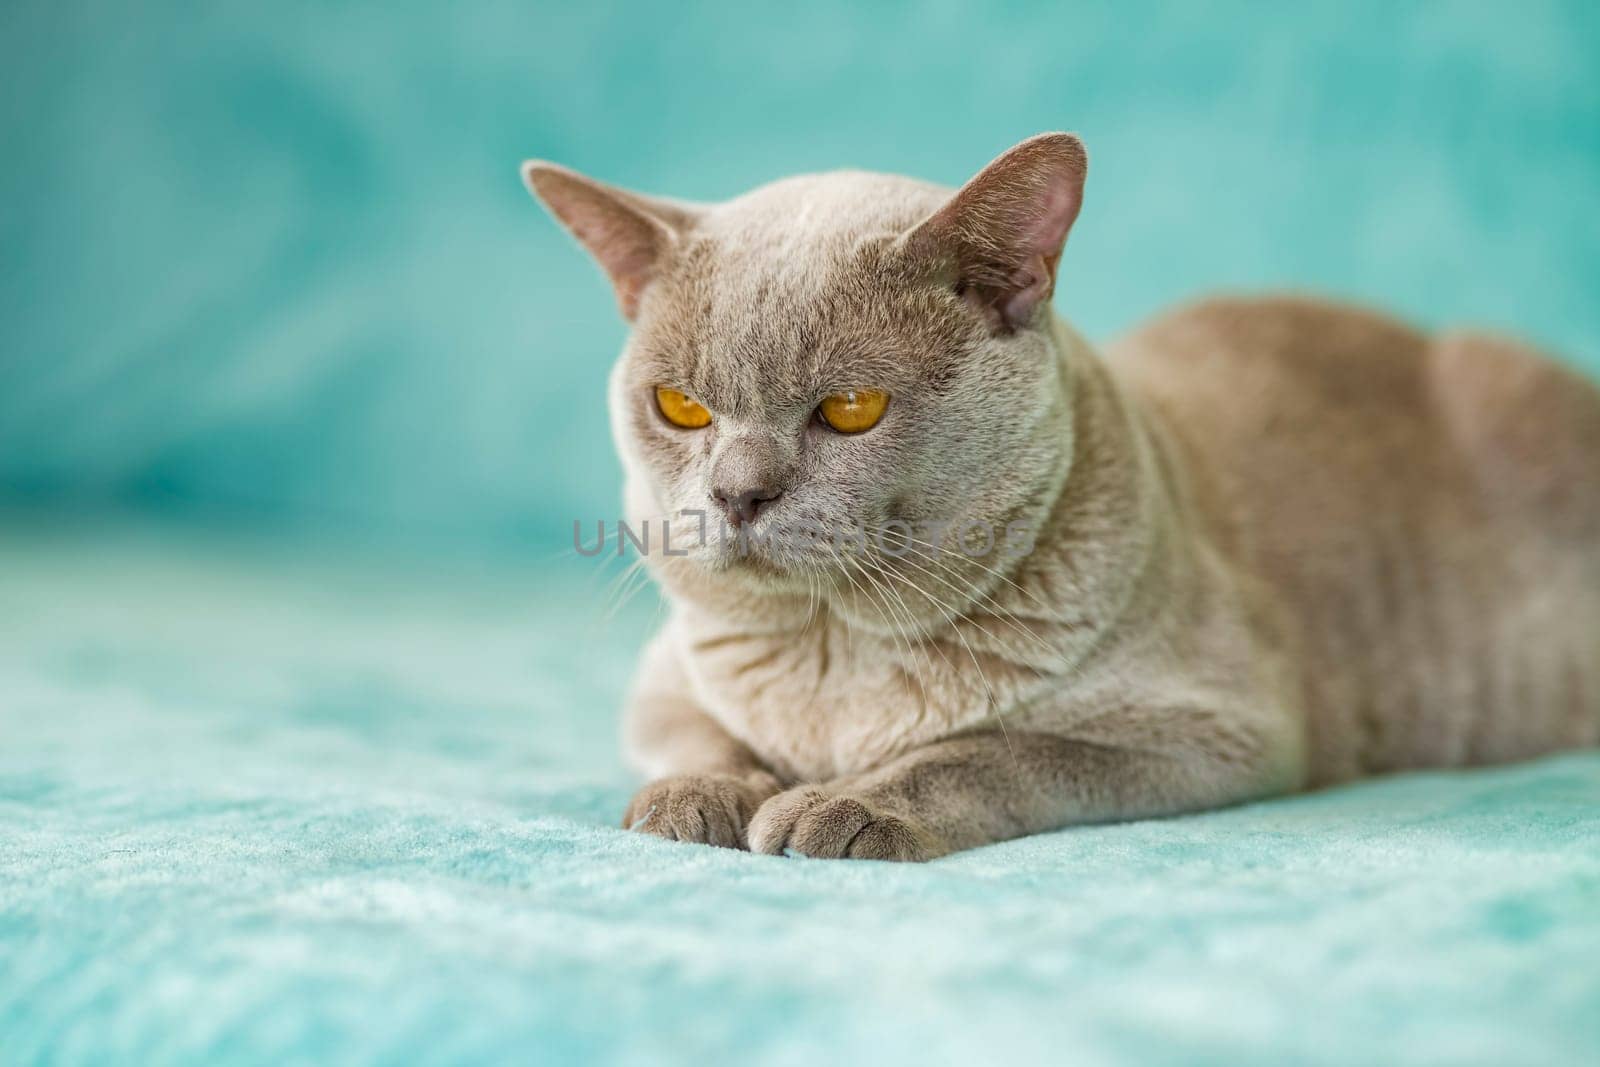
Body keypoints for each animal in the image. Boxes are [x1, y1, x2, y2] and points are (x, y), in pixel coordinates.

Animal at [524, 133, 1600, 863]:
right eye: (680, 406)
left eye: (851, 409)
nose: (739, 493)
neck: (835, 660)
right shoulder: (665, 681)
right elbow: (698, 735)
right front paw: (700, 797)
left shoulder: (1217, 730)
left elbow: (988, 751)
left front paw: (845, 807)